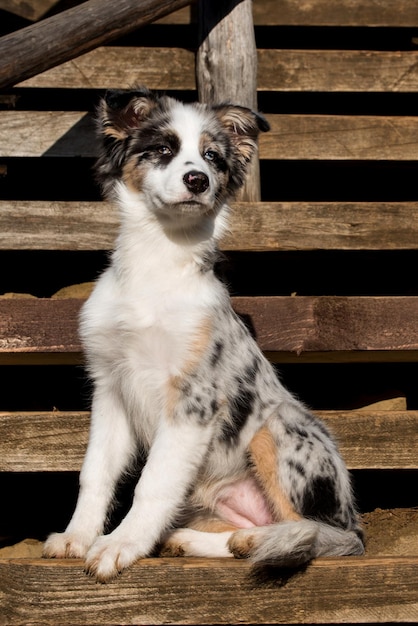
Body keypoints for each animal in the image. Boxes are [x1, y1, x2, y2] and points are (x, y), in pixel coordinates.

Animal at [42, 86, 362, 580]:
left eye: (212, 157)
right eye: (163, 149)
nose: (198, 180)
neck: (157, 263)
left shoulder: (194, 401)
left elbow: (152, 483)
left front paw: (121, 545)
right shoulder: (110, 388)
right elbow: (95, 472)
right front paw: (78, 537)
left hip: (276, 428)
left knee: (324, 535)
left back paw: (266, 541)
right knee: (239, 534)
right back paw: (210, 540)